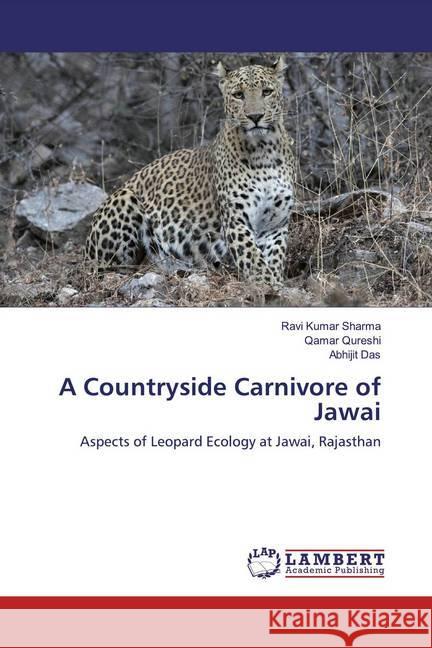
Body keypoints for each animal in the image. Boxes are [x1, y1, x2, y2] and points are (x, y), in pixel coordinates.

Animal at [85, 57, 295, 287]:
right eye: (238, 95)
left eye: (266, 92)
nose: (255, 116)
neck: (264, 151)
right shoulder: (236, 219)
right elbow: (252, 256)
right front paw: (266, 283)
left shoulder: (275, 224)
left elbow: (274, 256)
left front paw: (276, 281)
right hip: (125, 199)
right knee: (111, 269)